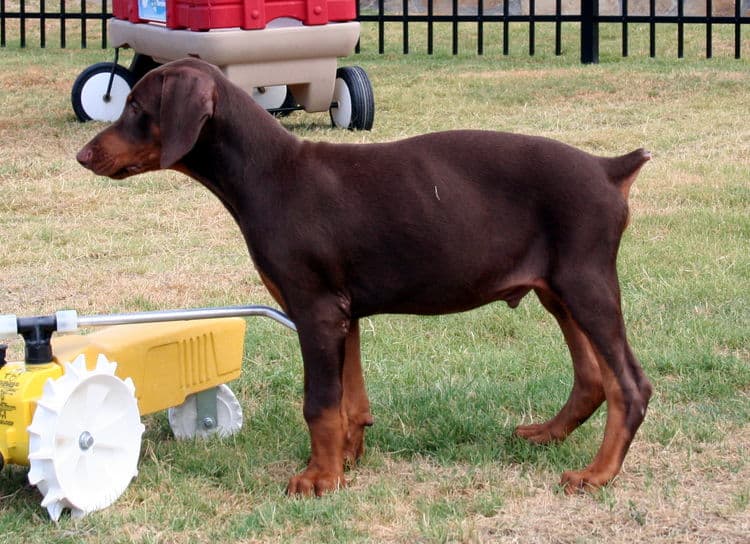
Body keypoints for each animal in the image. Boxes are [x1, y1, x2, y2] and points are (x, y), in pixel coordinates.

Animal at [73, 57, 656, 496]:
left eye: (135, 107)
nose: (82, 154)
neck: (271, 172)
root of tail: (609, 169)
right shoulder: (343, 313)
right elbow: (349, 400)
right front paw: (348, 458)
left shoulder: (315, 310)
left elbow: (319, 402)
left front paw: (318, 477)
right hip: (557, 291)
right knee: (592, 379)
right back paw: (549, 434)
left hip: (586, 283)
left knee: (630, 384)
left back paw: (599, 474)